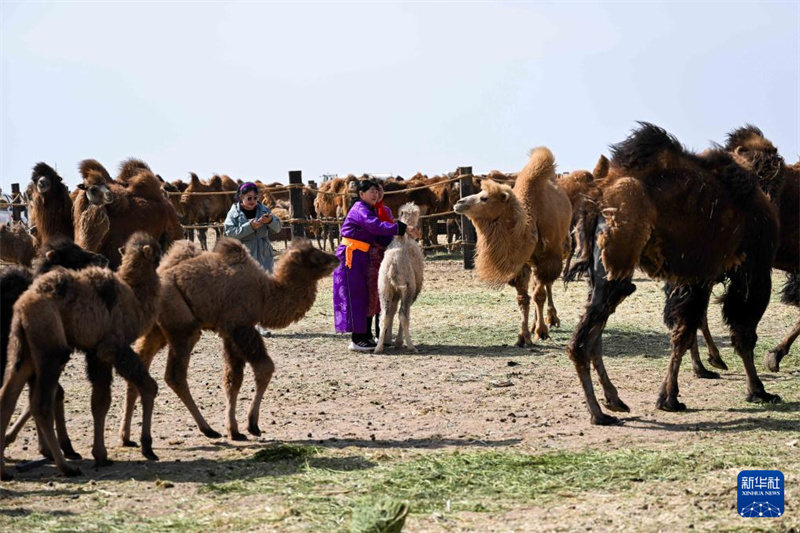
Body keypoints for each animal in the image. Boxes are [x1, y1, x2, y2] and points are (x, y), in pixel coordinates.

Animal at [0, 233, 162, 478]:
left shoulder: (95, 352)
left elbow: (99, 402)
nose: (102, 258)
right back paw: (66, 467)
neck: (134, 298)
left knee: (8, 397)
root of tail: (21, 308)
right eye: (158, 253)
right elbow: (143, 388)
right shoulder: (112, 347)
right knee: (41, 405)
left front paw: (101, 454)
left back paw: (5, 469)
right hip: (51, 350)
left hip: (22, 350)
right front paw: (145, 447)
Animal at [120, 239, 340, 442]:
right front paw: (252, 425)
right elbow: (264, 369)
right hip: (182, 327)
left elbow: (232, 379)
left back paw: (126, 437)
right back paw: (207, 429)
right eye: (316, 257)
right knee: (175, 375)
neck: (265, 294)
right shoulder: (240, 326)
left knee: (139, 368)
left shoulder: (228, 333)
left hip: (155, 330)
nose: (336, 258)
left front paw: (234, 430)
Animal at [376, 204, 424, 354]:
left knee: (384, 315)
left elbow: (391, 312)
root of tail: (393, 264)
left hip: (384, 287)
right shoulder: (413, 290)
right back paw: (411, 346)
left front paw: (388, 339)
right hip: (408, 288)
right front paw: (397, 341)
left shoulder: (394, 292)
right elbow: (402, 313)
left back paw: (378, 347)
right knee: (403, 314)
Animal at [454, 145, 572, 344]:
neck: (529, 225)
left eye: (485, 198)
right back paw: (535, 323)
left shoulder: (548, 258)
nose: (459, 202)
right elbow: (523, 298)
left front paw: (541, 331)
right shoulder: (520, 264)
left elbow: (539, 294)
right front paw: (523, 336)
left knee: (546, 286)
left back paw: (550, 319)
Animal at [564, 122, 780, 426]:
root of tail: (596, 198)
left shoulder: (695, 277)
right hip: (619, 261)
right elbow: (738, 332)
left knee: (594, 334)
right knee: (583, 340)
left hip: (600, 272)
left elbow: (683, 331)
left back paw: (614, 401)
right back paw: (598, 413)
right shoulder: (750, 272)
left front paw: (670, 395)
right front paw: (757, 391)